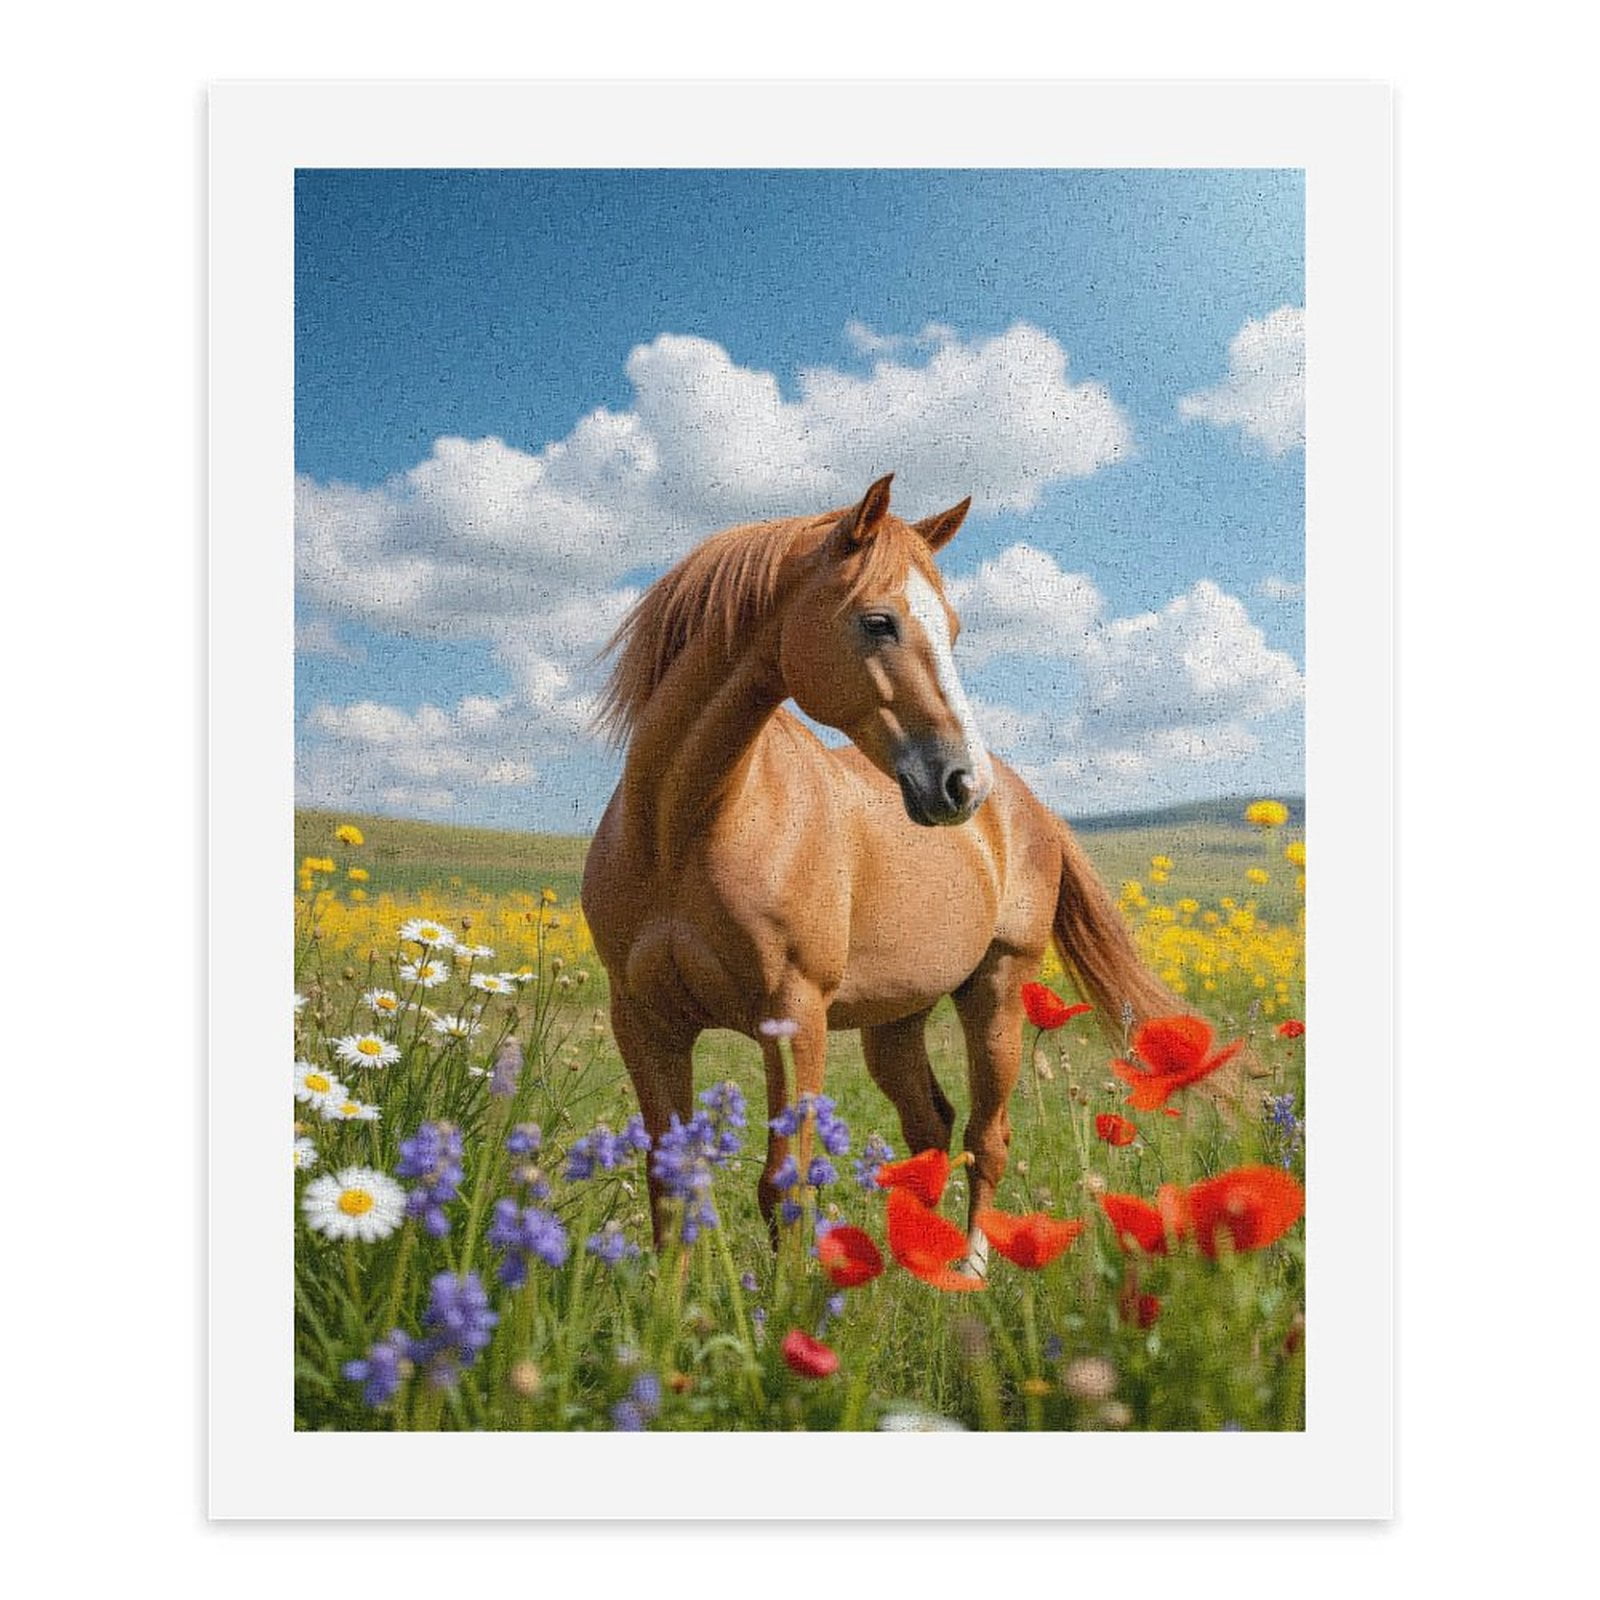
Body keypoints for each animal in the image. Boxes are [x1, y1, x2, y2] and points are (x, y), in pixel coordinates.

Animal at [581, 474, 1181, 1272]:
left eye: (953, 630)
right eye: (878, 622)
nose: (961, 784)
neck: (683, 831)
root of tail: (1027, 807)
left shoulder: (794, 1016)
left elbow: (786, 1181)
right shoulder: (643, 1021)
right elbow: (666, 1177)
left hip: (997, 994)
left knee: (987, 1138)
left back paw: (969, 1268)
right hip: (896, 1021)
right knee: (931, 1128)